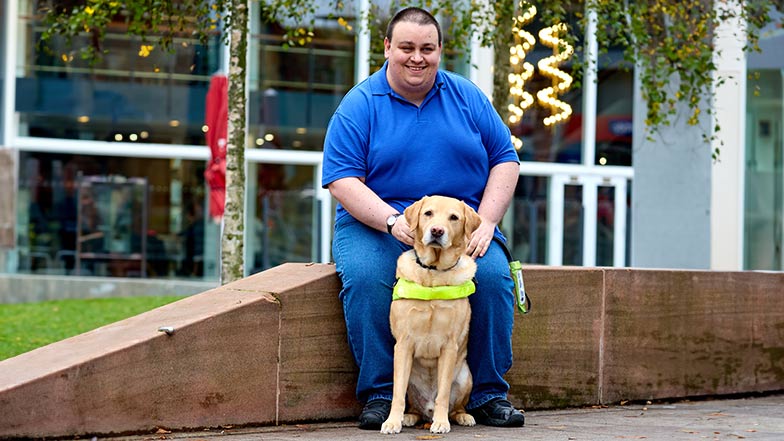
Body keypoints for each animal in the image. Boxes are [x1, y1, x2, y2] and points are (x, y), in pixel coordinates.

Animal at [380, 195, 482, 434]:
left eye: (454, 217)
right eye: (428, 213)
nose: (436, 231)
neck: (433, 273)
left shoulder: (449, 346)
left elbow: (443, 394)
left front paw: (441, 422)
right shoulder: (403, 344)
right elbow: (397, 394)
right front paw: (392, 422)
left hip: (465, 376)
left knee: (455, 406)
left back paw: (461, 416)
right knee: (411, 403)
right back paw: (409, 416)